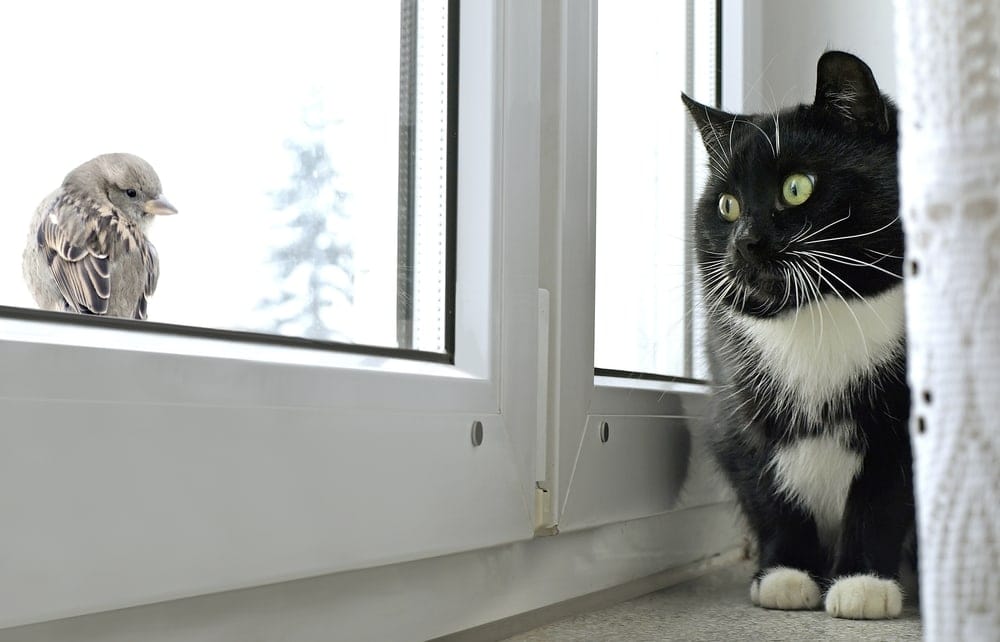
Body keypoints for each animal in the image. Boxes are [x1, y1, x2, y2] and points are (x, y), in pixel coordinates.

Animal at [680, 51, 916, 620]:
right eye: (727, 206)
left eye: (796, 187)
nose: (745, 242)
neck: (820, 315)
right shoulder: (735, 407)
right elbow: (770, 489)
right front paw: (786, 575)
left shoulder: (903, 418)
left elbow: (883, 495)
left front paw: (862, 583)